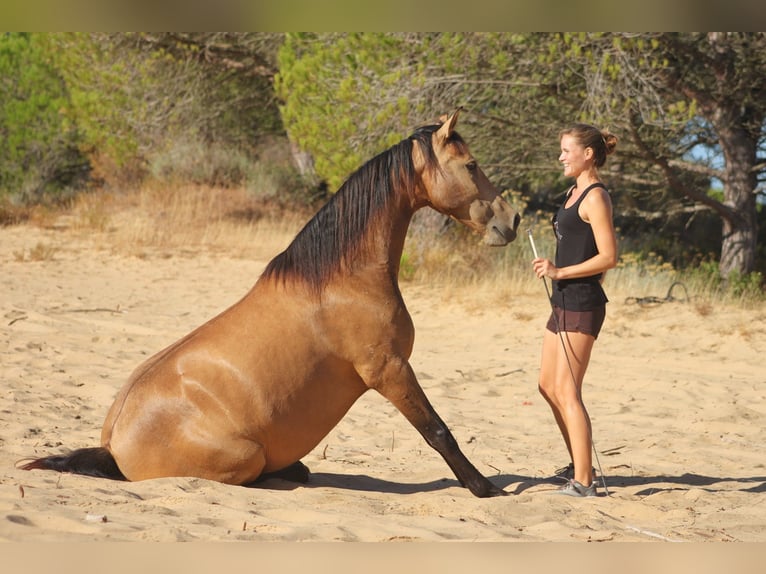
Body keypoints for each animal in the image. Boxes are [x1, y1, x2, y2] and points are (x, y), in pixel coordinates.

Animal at [19, 109, 520, 500]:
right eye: (471, 165)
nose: (511, 220)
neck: (342, 278)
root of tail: (114, 443)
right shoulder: (389, 370)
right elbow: (438, 431)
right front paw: (485, 488)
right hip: (246, 454)